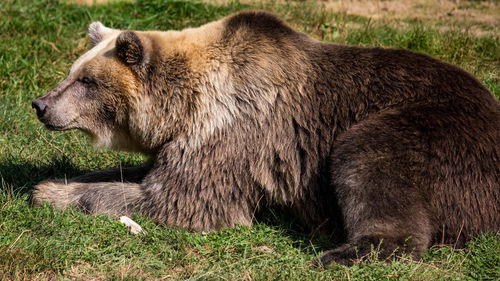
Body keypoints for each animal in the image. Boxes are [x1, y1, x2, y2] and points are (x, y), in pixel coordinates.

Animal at [32, 11, 500, 264]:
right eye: (73, 71)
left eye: (87, 81)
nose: (40, 104)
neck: (185, 105)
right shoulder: (181, 140)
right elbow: (141, 175)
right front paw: (63, 178)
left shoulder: (234, 129)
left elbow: (179, 200)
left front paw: (50, 192)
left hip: (433, 130)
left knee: (369, 160)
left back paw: (340, 252)